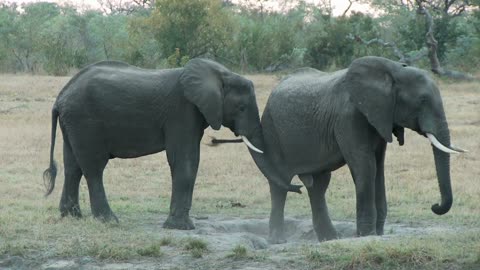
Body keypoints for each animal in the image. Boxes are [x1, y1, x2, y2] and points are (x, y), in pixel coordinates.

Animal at [44, 58, 300, 229]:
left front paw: (182, 224)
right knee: (93, 168)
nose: (298, 187)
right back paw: (109, 220)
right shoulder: (182, 111)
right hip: (85, 120)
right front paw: (181, 227)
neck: (219, 73)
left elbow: (192, 161)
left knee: (73, 166)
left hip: (74, 122)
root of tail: (60, 97)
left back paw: (71, 216)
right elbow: (184, 161)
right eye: (242, 108)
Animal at [210, 56, 464, 243]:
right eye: (421, 101)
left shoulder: (379, 117)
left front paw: (377, 234)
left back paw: (329, 239)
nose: (435, 206)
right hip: (272, 129)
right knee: (281, 183)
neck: (392, 71)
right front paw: (366, 236)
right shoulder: (348, 117)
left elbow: (378, 166)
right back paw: (279, 240)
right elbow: (365, 166)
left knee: (318, 185)